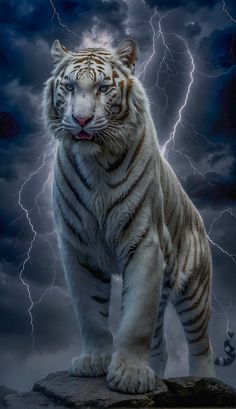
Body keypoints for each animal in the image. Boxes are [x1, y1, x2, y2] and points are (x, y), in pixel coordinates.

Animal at [43, 39, 234, 394]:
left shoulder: (145, 242)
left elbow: (135, 319)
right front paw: (93, 361)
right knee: (160, 345)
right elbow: (90, 312)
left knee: (202, 346)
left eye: (103, 88)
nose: (81, 120)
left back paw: (204, 381)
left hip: (195, 291)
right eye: (69, 86)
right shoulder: (77, 247)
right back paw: (157, 375)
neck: (96, 162)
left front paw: (130, 374)